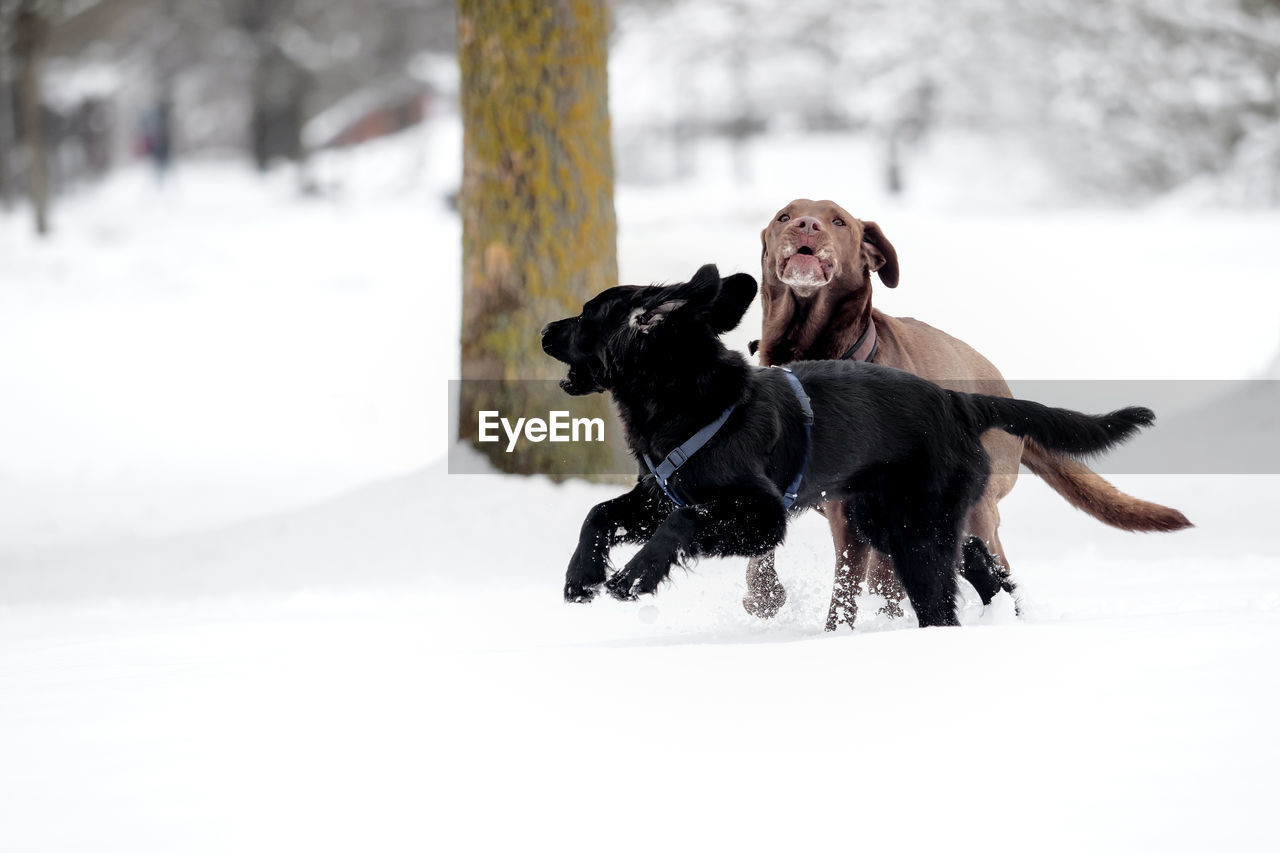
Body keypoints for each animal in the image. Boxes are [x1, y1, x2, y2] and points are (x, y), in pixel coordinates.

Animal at [540, 263, 1162, 625]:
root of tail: (959, 400)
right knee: (980, 562)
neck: (691, 401)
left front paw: (633, 577)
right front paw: (580, 577)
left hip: (911, 527)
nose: (544, 330)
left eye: (587, 317)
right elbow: (599, 513)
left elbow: (685, 521)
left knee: (942, 599)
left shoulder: (760, 515)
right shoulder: (659, 490)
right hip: (890, 517)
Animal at [747, 197, 1192, 625]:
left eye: (838, 221)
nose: (806, 225)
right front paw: (763, 595)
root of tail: (997, 390)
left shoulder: (854, 514)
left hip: (971, 509)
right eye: (784, 215)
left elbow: (851, 591)